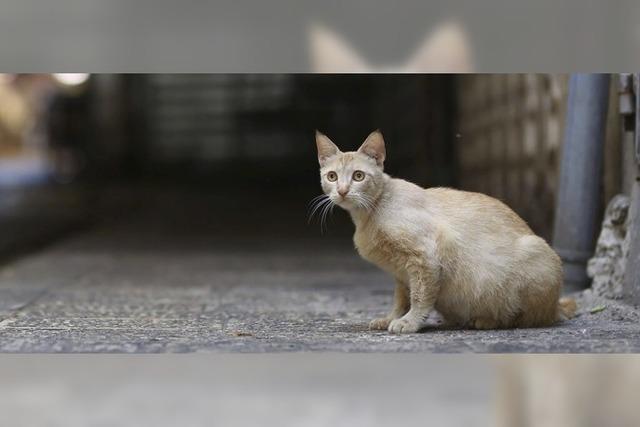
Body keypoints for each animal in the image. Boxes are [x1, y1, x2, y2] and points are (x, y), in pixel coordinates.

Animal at [314, 130, 576, 334]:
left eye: (358, 176)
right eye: (332, 176)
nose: (343, 191)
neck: (369, 214)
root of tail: (556, 305)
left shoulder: (425, 257)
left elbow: (420, 297)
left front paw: (409, 322)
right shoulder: (401, 273)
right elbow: (401, 299)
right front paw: (391, 318)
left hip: (535, 253)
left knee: (528, 318)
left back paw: (486, 320)